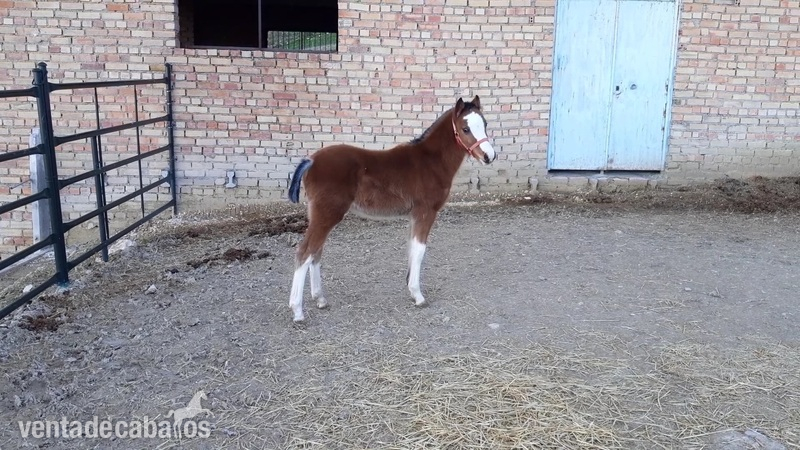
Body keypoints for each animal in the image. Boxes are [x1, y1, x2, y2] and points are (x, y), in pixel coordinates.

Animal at [286, 96, 496, 323]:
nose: (489, 156)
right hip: (327, 214)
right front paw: (418, 295)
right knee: (305, 252)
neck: (431, 161)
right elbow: (420, 250)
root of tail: (311, 160)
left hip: (319, 215)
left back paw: (320, 299)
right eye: (465, 129)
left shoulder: (414, 216)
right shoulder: (426, 212)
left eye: (485, 124)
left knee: (316, 252)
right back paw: (297, 310)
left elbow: (412, 248)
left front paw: (411, 288)